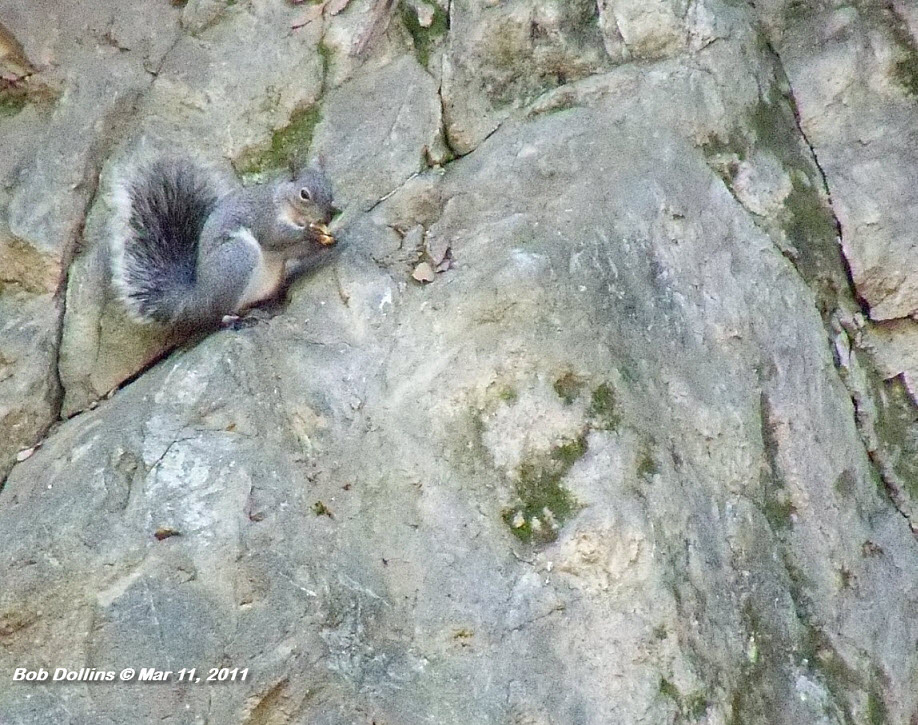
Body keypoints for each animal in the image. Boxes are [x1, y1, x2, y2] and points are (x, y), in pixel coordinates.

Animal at [110, 156, 338, 331]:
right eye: (304, 194)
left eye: (330, 188)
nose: (326, 216)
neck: (286, 203)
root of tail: (199, 298)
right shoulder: (264, 218)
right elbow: (276, 236)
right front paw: (310, 232)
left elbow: (296, 250)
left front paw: (327, 238)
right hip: (237, 257)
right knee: (221, 314)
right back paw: (240, 318)